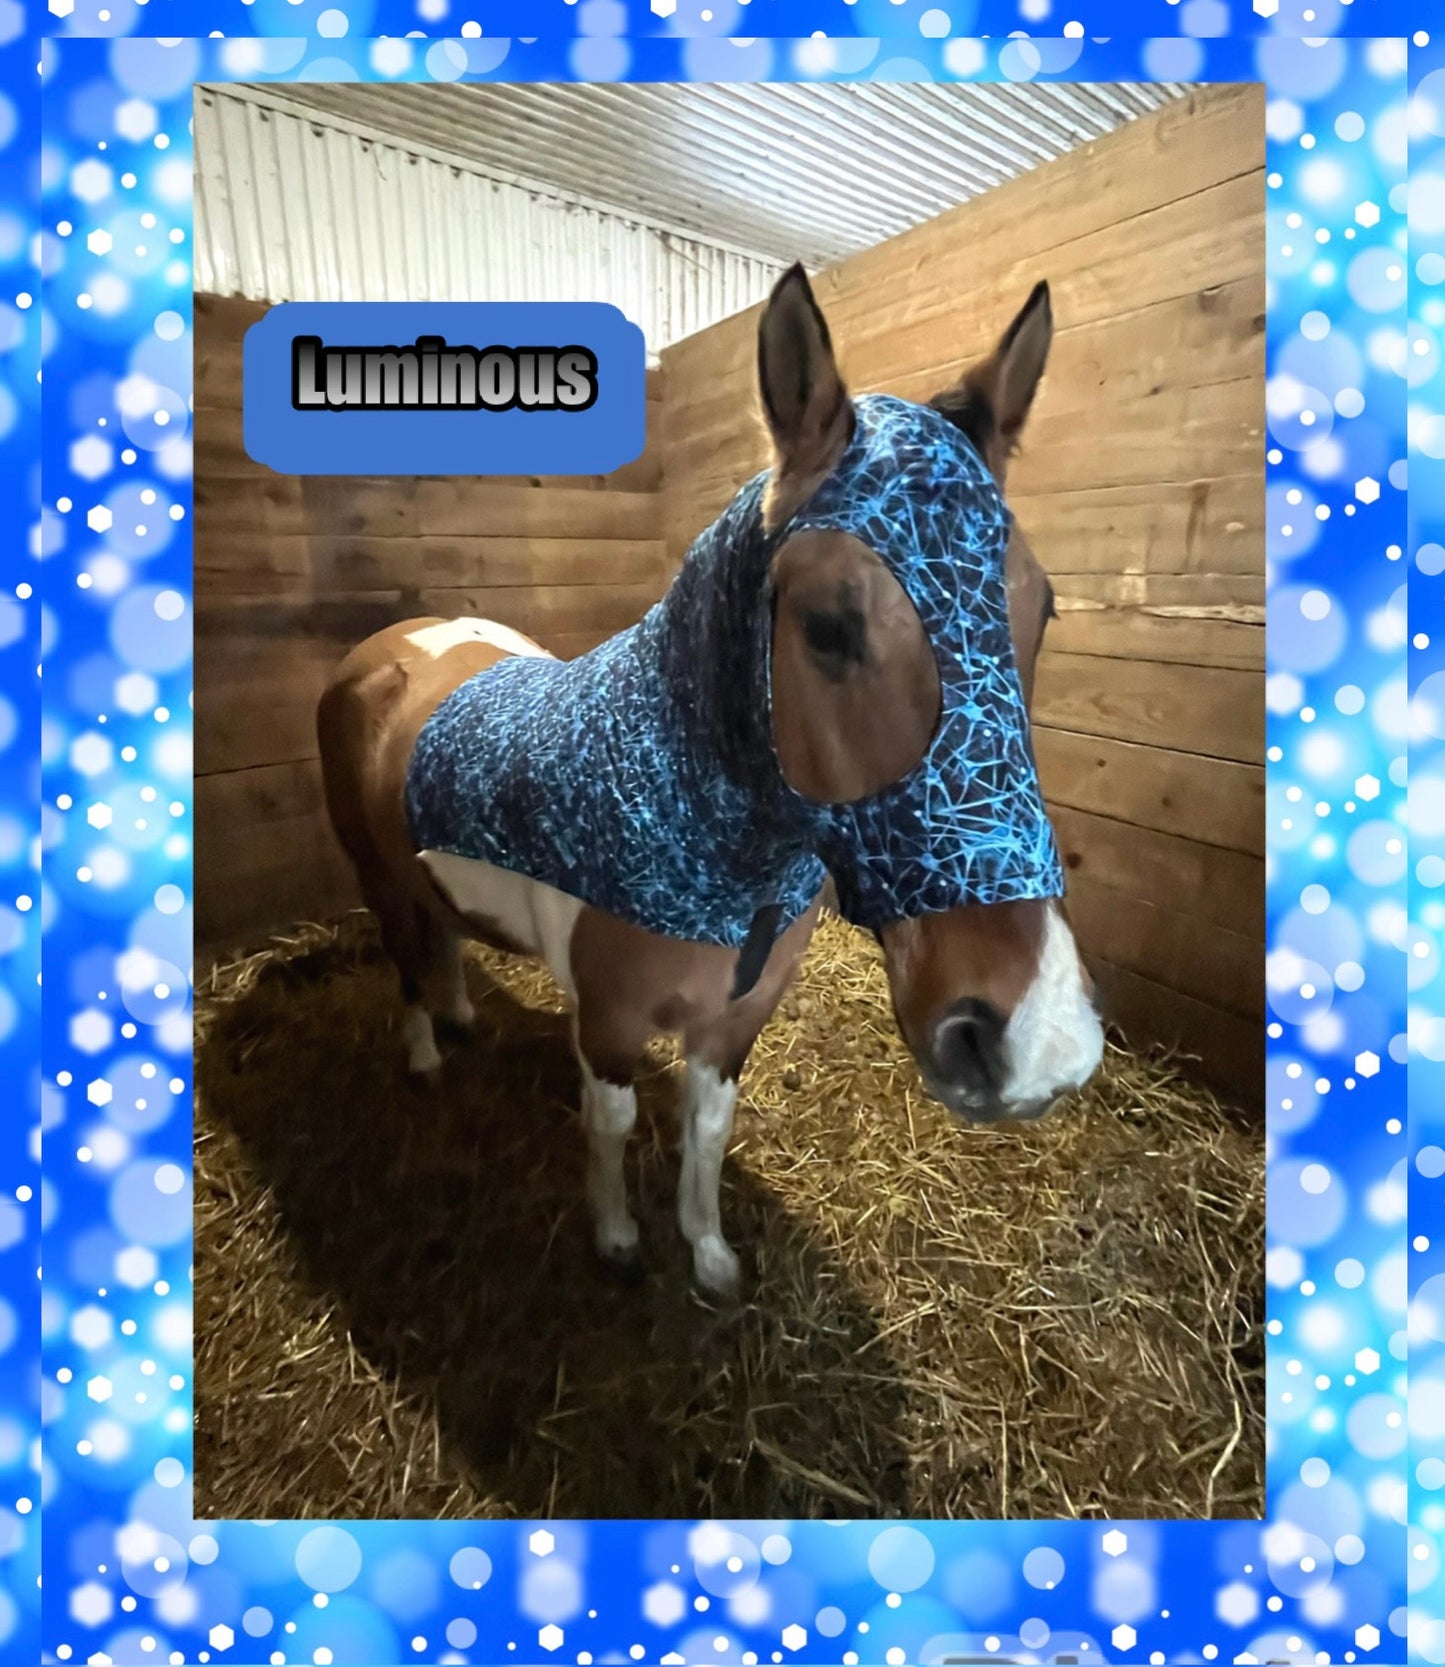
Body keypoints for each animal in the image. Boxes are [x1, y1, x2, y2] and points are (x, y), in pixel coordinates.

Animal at [317, 265, 1104, 1299]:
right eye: (827, 623)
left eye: (1041, 608)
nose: (1038, 1041)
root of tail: (390, 644)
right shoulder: (607, 1025)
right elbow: (610, 1125)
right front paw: (616, 1238)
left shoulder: (734, 1024)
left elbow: (706, 1131)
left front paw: (711, 1254)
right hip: (371, 872)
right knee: (403, 955)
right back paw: (420, 1053)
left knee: (438, 936)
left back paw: (457, 1017)